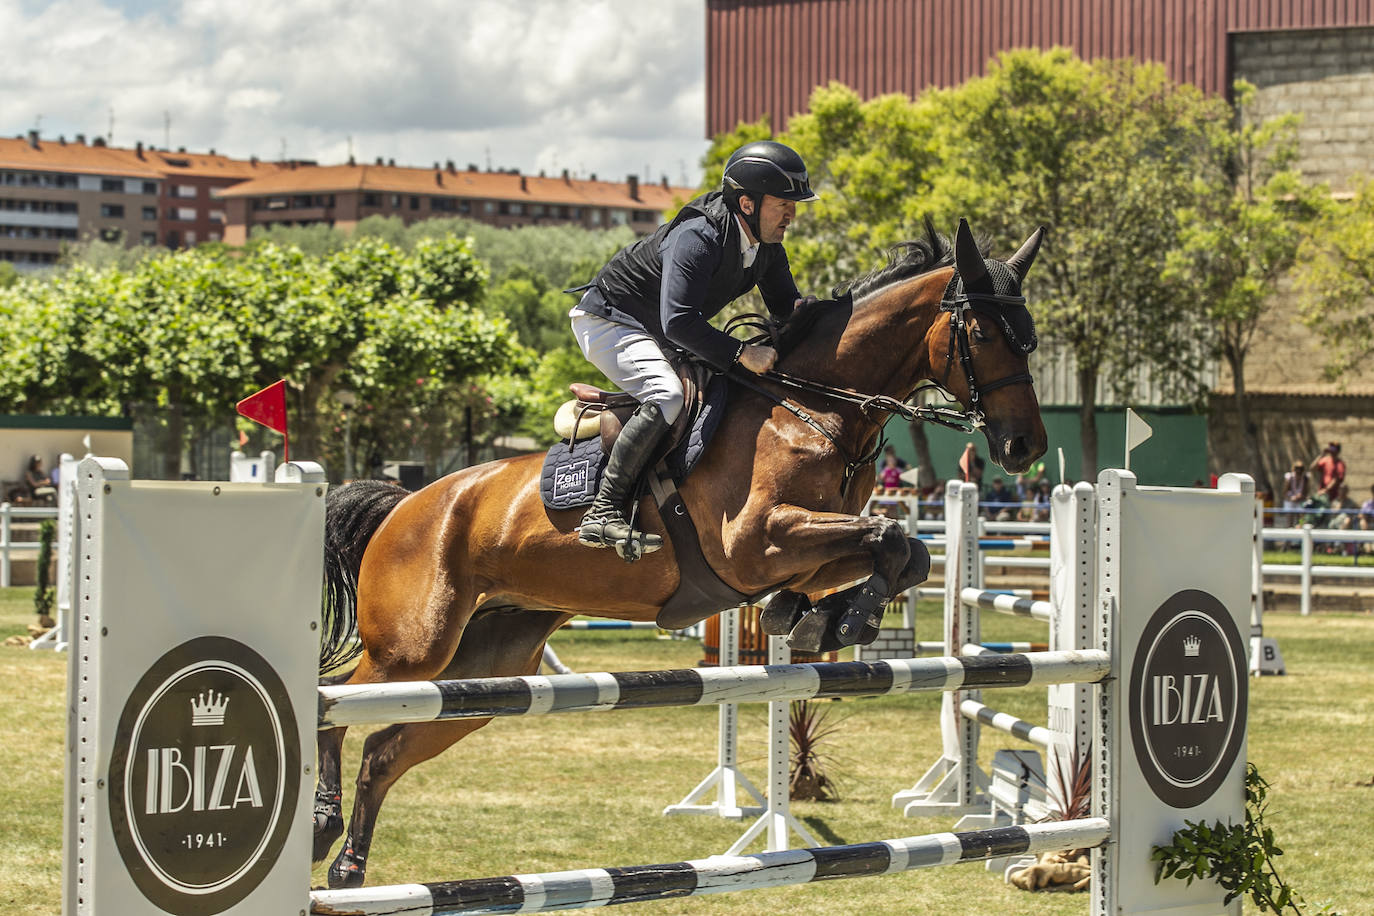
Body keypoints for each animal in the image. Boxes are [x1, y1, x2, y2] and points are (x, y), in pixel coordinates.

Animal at [309, 216, 1038, 889]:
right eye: (981, 335)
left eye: (1028, 335)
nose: (1025, 446)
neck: (808, 407)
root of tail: (404, 504)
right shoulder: (757, 541)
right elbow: (888, 538)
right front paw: (841, 620)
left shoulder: (802, 546)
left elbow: (902, 552)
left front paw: (815, 619)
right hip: (412, 649)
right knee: (335, 707)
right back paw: (321, 826)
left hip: (485, 670)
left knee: (383, 748)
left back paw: (348, 867)